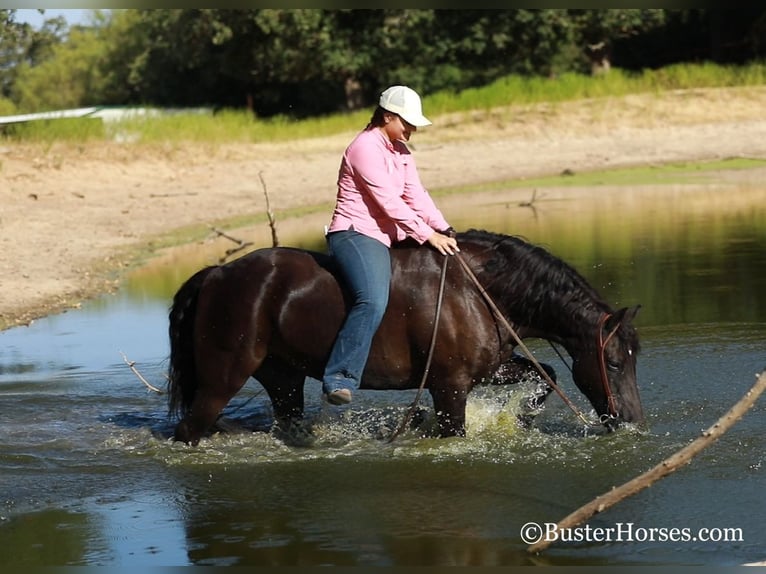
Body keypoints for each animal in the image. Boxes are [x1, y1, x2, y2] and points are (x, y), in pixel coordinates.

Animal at [168, 230, 640, 446]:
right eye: (614, 362)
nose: (632, 419)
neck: (479, 291)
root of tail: (217, 274)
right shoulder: (450, 386)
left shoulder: (487, 371)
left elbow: (546, 375)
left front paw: (521, 418)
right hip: (222, 379)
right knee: (190, 427)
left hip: (283, 379)